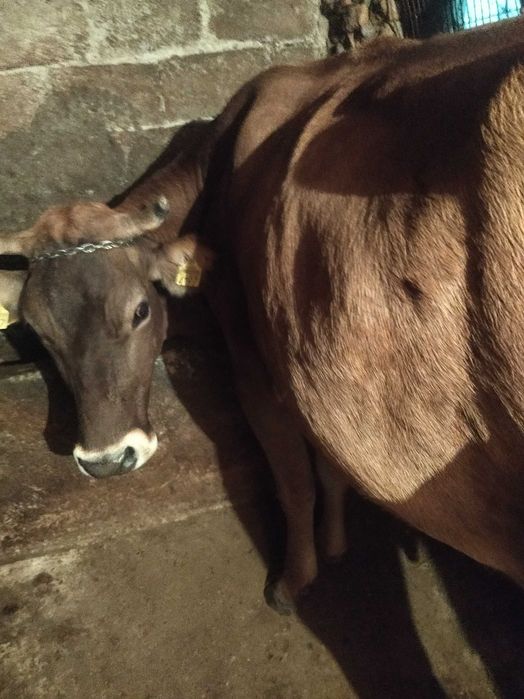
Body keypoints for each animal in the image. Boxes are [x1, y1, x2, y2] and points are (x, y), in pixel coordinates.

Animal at [1, 18, 524, 612]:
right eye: (38, 331)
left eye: (139, 310)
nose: (107, 459)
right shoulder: (311, 360)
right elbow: (330, 467)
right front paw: (336, 542)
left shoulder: (255, 363)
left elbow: (295, 481)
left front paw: (295, 577)